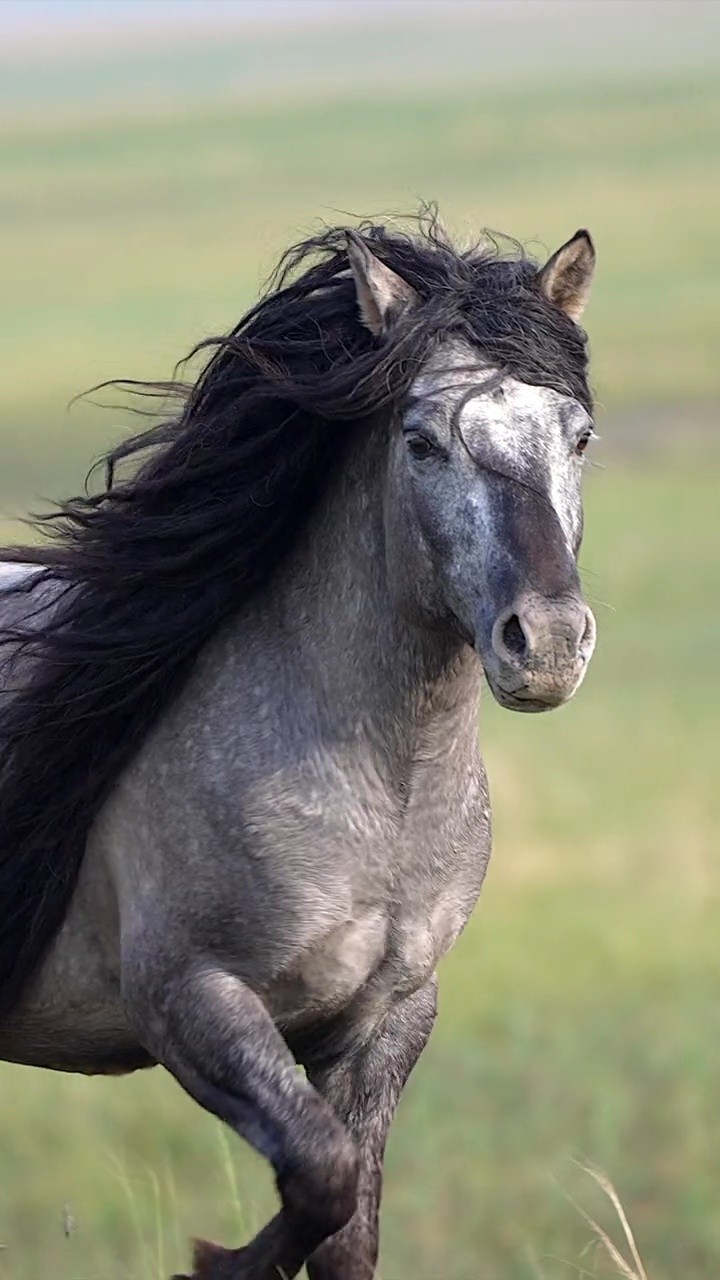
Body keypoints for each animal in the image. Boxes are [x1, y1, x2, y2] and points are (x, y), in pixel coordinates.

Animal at [0, 215, 594, 1274]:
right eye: (420, 442)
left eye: (579, 435)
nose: (551, 644)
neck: (383, 795)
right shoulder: (193, 1002)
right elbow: (322, 1173)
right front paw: (213, 1259)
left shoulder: (387, 1022)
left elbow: (350, 1227)